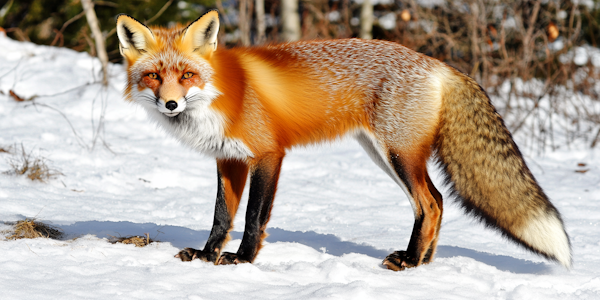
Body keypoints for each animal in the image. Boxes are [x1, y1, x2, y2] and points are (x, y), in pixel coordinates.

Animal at [113, 10, 572, 270]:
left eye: (187, 74)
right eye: (153, 76)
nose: (171, 104)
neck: (222, 94)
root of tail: (437, 63)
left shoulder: (268, 155)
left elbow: (253, 218)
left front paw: (241, 260)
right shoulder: (228, 160)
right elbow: (220, 218)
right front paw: (206, 255)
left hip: (397, 154)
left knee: (429, 202)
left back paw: (409, 261)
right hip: (385, 155)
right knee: (438, 202)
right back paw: (423, 262)